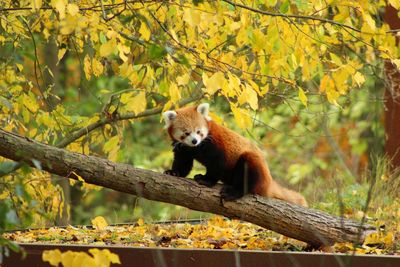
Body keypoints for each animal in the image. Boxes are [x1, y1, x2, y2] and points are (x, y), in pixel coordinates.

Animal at [161, 103, 308, 207]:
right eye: (186, 133)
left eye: (198, 131)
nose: (194, 141)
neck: (196, 148)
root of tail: (269, 182)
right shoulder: (183, 148)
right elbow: (183, 163)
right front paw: (174, 172)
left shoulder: (216, 145)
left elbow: (216, 164)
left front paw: (206, 180)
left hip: (253, 163)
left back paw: (234, 191)